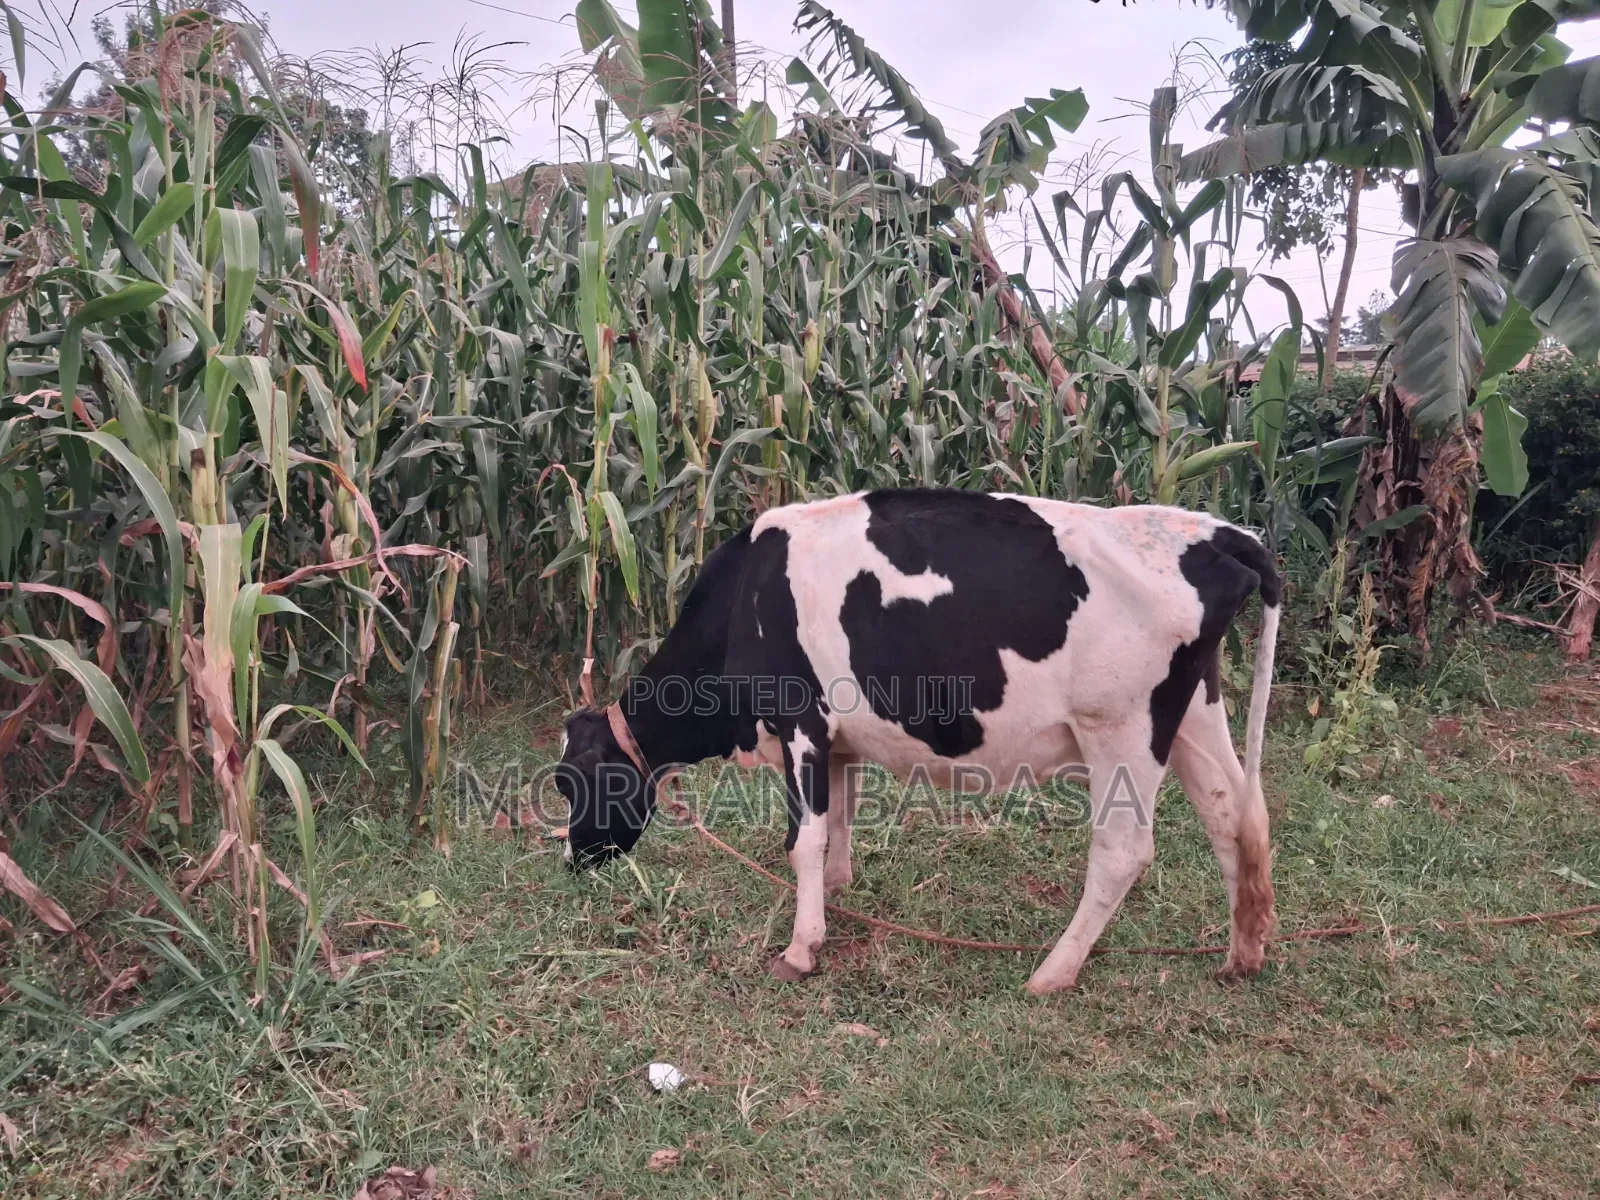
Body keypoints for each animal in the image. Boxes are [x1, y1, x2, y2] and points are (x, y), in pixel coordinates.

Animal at [556, 487, 1281, 994]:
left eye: (570, 782)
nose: (572, 860)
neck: (745, 604)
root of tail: (1215, 533)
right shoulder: (839, 736)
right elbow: (839, 822)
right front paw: (836, 896)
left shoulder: (800, 719)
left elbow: (804, 838)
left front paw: (800, 948)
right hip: (1192, 717)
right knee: (1236, 819)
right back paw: (1241, 955)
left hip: (1121, 726)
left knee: (1124, 851)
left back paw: (1052, 973)